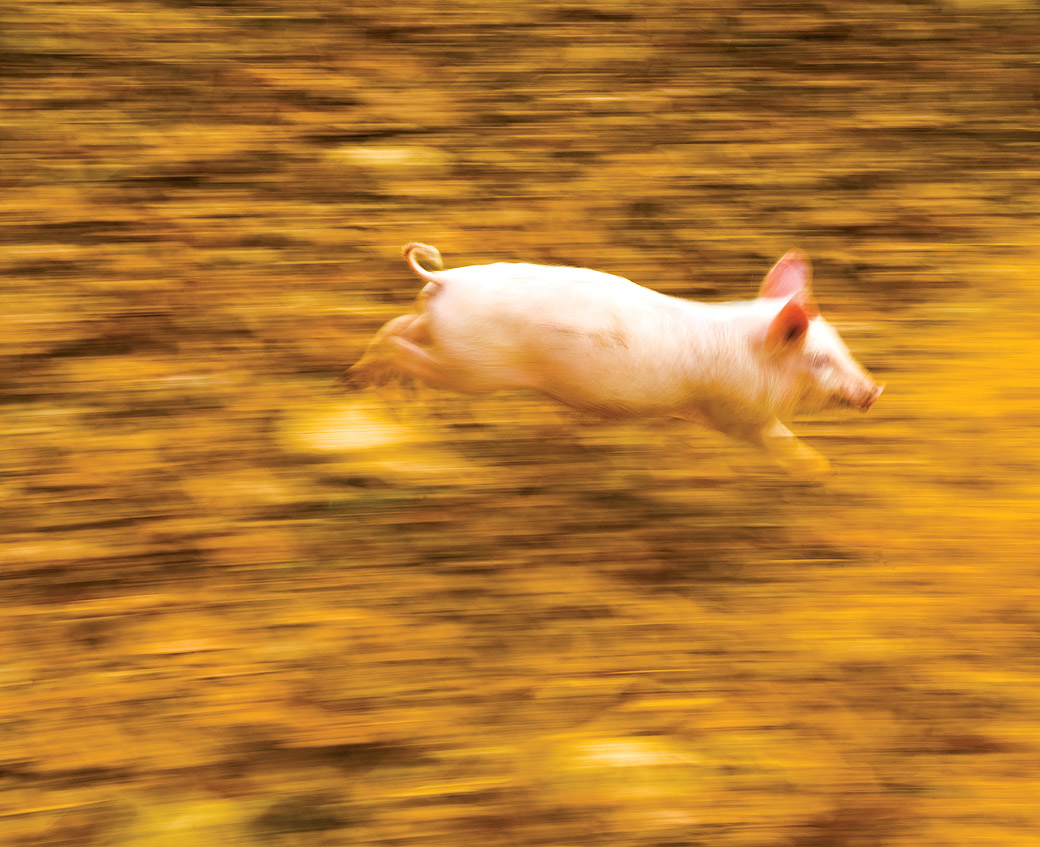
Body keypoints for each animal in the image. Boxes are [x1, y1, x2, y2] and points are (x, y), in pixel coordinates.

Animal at [349, 243, 883, 475]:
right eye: (820, 359)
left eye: (842, 345)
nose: (875, 390)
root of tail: (446, 279)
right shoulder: (739, 412)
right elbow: (777, 438)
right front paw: (822, 470)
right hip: (469, 368)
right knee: (403, 345)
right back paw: (383, 392)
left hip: (438, 333)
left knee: (395, 326)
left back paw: (363, 379)